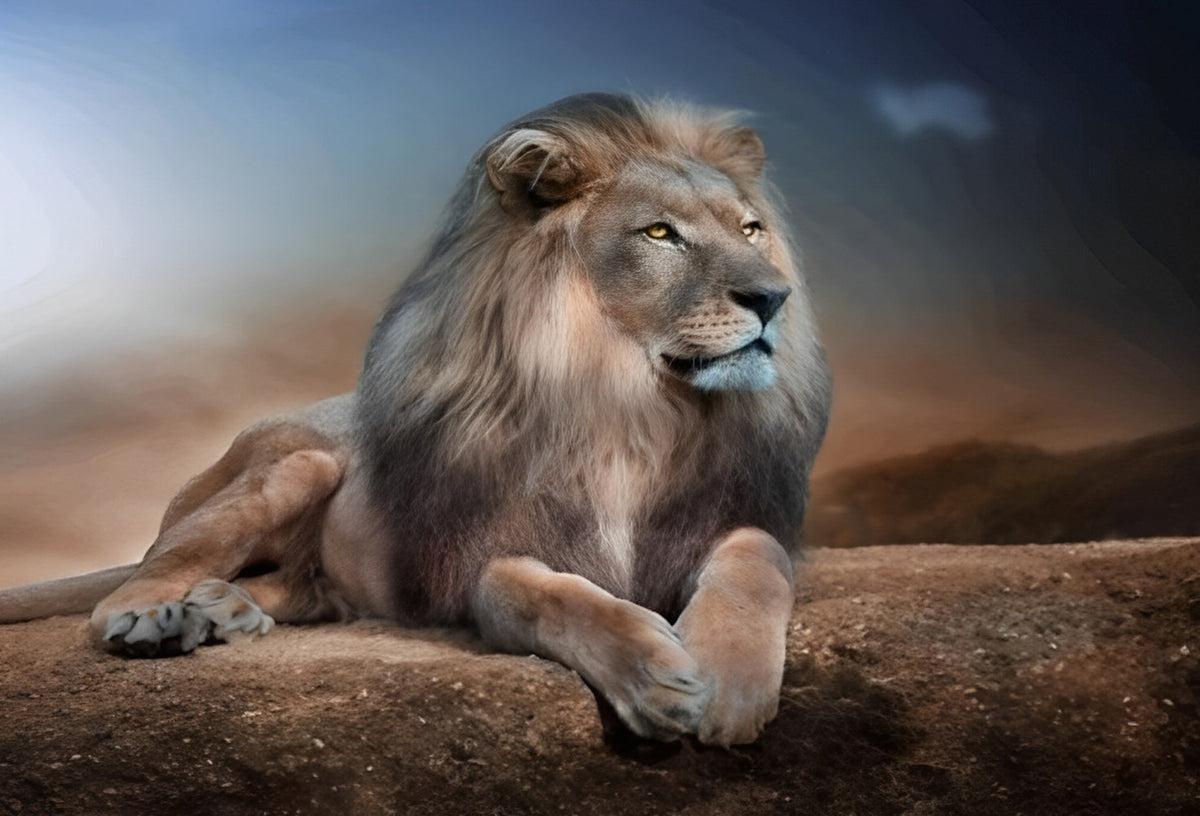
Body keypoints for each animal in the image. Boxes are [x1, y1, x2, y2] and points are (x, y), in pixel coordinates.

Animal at [0, 93, 831, 747]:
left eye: (751, 229)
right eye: (659, 234)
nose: (774, 298)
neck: (633, 408)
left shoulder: (727, 517)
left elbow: (756, 559)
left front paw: (727, 687)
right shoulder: (483, 556)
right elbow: (542, 596)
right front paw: (656, 675)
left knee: (294, 590)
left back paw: (225, 610)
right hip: (297, 464)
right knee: (139, 577)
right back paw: (159, 619)